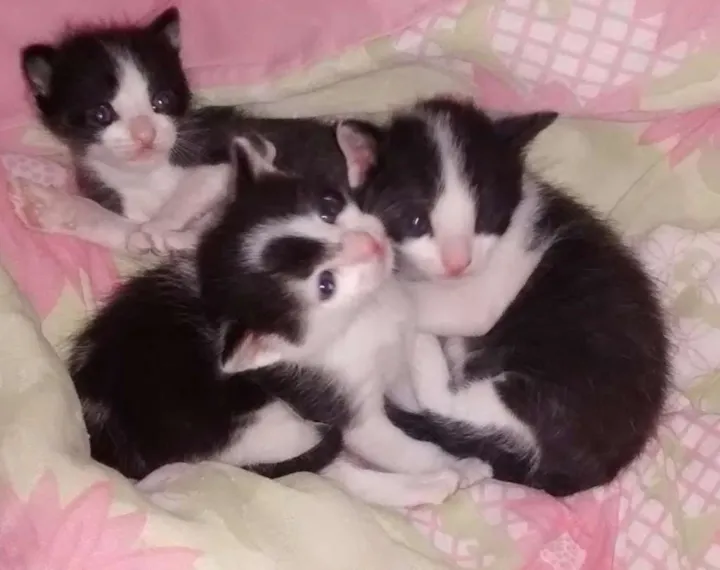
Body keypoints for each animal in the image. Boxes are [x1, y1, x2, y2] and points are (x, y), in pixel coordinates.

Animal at [69, 129, 462, 508]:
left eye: (329, 209)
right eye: (325, 285)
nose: (370, 244)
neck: (362, 314)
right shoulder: (330, 401)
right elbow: (386, 443)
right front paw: (449, 463)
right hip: (259, 427)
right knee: (330, 472)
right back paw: (430, 487)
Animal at [350, 96, 670, 497]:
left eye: (484, 218)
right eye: (416, 221)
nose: (458, 262)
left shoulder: (491, 282)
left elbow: (437, 303)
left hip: (543, 393)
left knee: (447, 404)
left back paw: (425, 352)